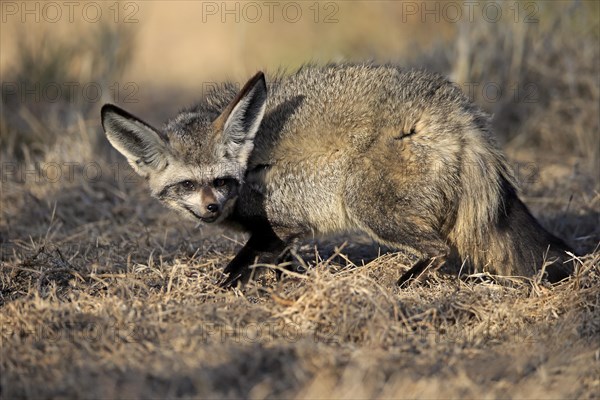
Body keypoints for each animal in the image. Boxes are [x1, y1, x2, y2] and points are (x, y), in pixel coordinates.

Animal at [101, 63, 576, 288]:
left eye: (221, 181)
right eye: (187, 185)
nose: (212, 208)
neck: (250, 165)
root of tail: (457, 109)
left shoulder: (282, 224)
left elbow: (237, 267)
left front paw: (222, 290)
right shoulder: (280, 237)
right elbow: (281, 267)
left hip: (368, 206)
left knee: (441, 249)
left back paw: (403, 284)